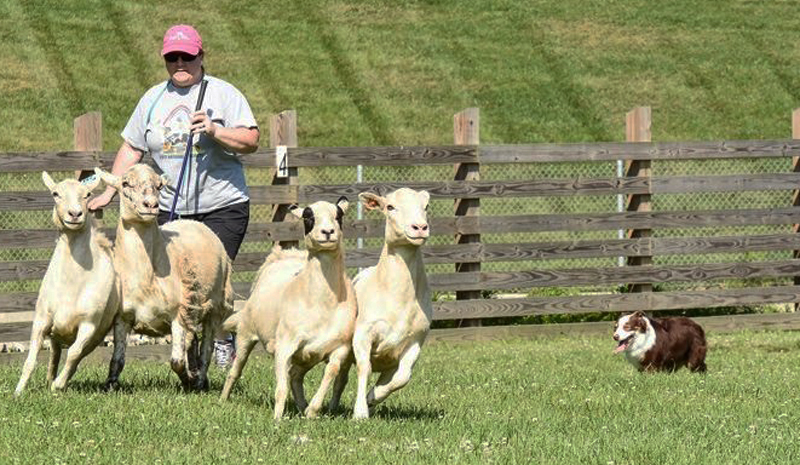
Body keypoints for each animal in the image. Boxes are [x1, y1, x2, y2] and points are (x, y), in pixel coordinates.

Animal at [14, 172, 121, 394]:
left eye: (88, 194)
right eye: (55, 194)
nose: (75, 214)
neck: (72, 283)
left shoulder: (89, 325)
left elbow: (73, 354)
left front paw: (58, 385)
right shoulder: (41, 320)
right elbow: (30, 360)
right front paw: (18, 392)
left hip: (96, 336)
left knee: (75, 357)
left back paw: (58, 384)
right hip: (55, 332)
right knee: (54, 355)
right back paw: (49, 380)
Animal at [96, 165, 234, 390]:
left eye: (159, 185)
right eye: (125, 183)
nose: (151, 205)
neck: (145, 277)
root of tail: (193, 222)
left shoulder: (178, 314)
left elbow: (176, 361)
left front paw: (188, 380)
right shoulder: (122, 316)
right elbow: (117, 359)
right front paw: (110, 385)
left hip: (215, 305)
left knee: (206, 350)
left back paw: (199, 382)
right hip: (192, 308)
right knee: (193, 342)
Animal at [219, 197, 356, 420]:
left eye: (339, 216)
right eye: (308, 217)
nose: (328, 232)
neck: (323, 303)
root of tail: (285, 254)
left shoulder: (339, 347)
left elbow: (331, 373)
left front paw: (312, 411)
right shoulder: (285, 345)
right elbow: (280, 388)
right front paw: (277, 419)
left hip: (307, 356)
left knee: (295, 376)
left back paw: (302, 406)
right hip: (246, 334)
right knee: (236, 370)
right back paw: (223, 399)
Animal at [352, 187, 432, 418]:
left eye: (426, 206)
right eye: (390, 206)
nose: (420, 227)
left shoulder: (416, 340)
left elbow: (403, 377)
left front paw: (373, 396)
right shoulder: (363, 334)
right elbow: (364, 368)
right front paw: (360, 412)